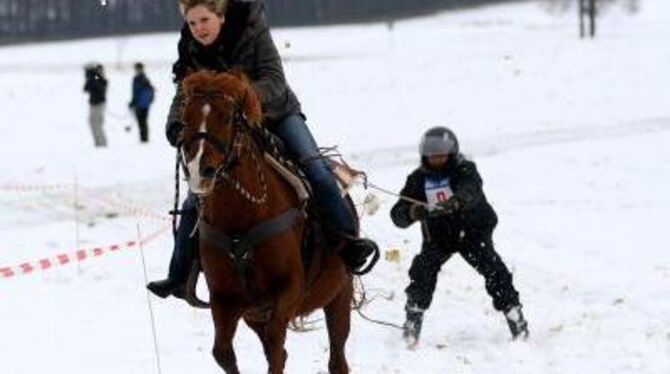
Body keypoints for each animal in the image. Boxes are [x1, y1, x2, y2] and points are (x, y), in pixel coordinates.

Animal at [178, 71, 356, 374]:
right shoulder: (224, 299)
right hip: (254, 315)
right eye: (185, 117)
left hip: (340, 293)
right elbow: (223, 352)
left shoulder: (289, 289)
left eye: (228, 117)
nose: (200, 170)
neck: (242, 220)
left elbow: (275, 345)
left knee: (337, 357)